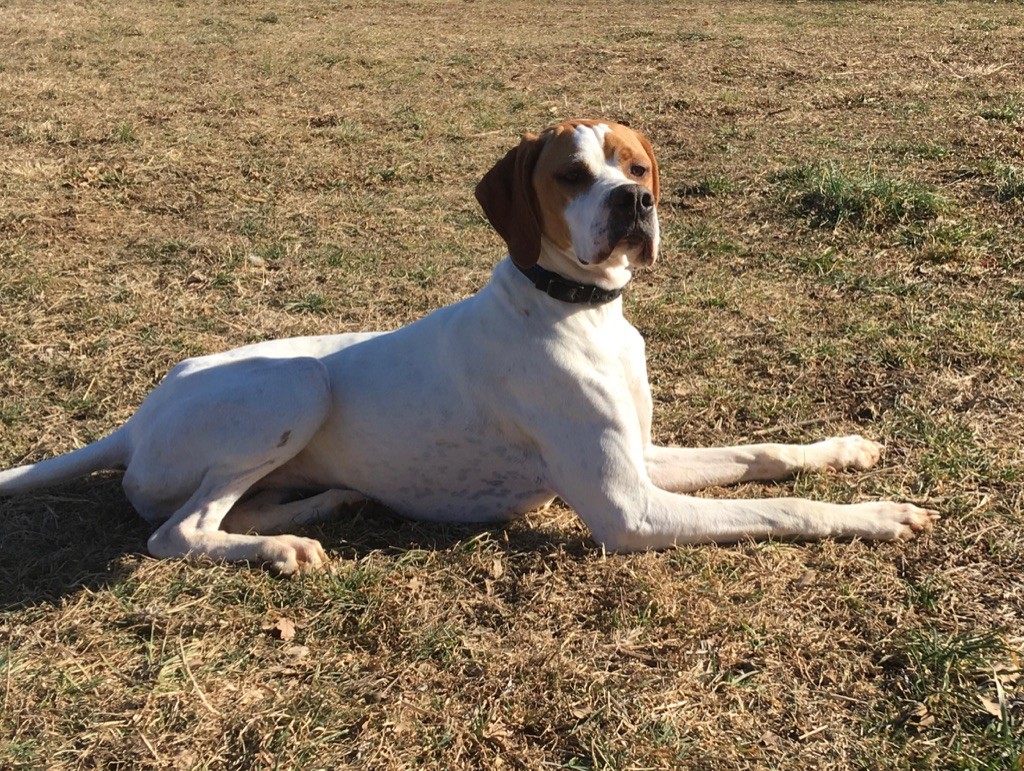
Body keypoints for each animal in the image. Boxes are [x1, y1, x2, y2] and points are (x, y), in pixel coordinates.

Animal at [0, 118, 937, 573]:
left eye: (636, 167)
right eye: (571, 175)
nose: (635, 205)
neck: (576, 311)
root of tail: (137, 414)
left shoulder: (643, 460)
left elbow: (763, 455)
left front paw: (846, 450)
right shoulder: (627, 508)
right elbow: (784, 507)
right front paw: (879, 513)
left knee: (219, 509)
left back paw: (319, 507)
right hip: (294, 385)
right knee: (175, 532)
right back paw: (282, 547)